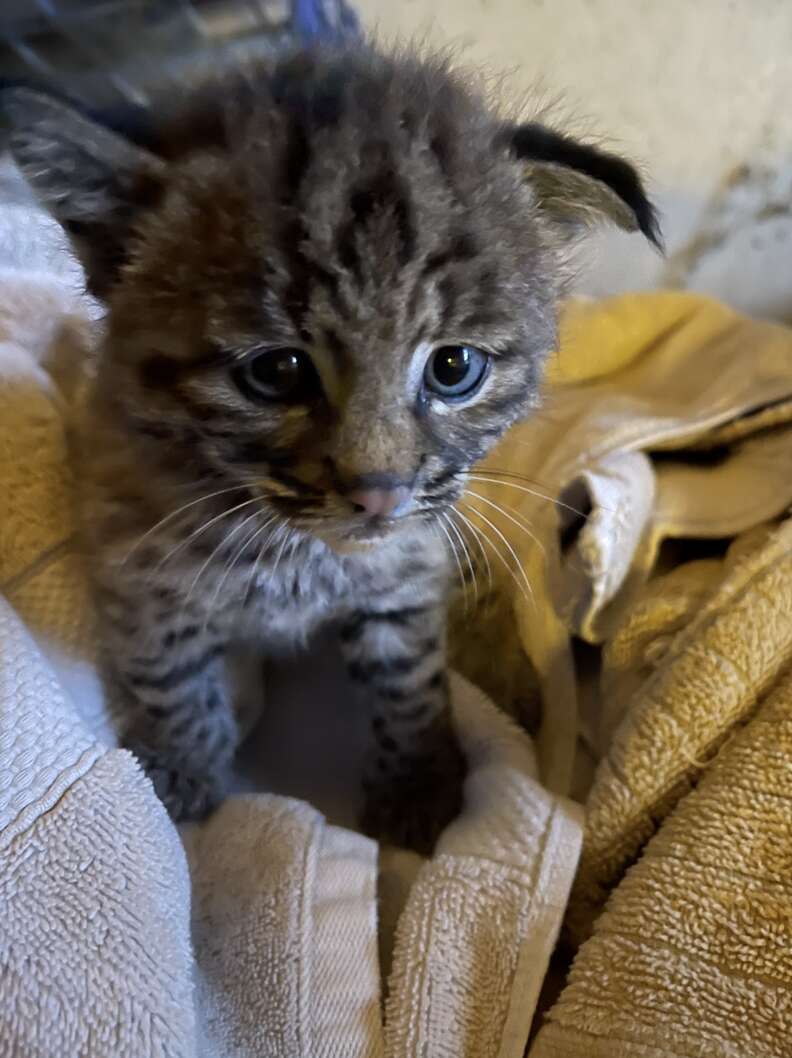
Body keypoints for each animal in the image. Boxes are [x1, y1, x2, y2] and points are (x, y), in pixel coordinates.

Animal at [3, 47, 659, 850]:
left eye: (454, 367)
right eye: (277, 372)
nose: (379, 491)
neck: (292, 548)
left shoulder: (407, 564)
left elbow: (409, 679)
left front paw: (418, 786)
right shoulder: (131, 550)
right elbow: (167, 669)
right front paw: (180, 771)